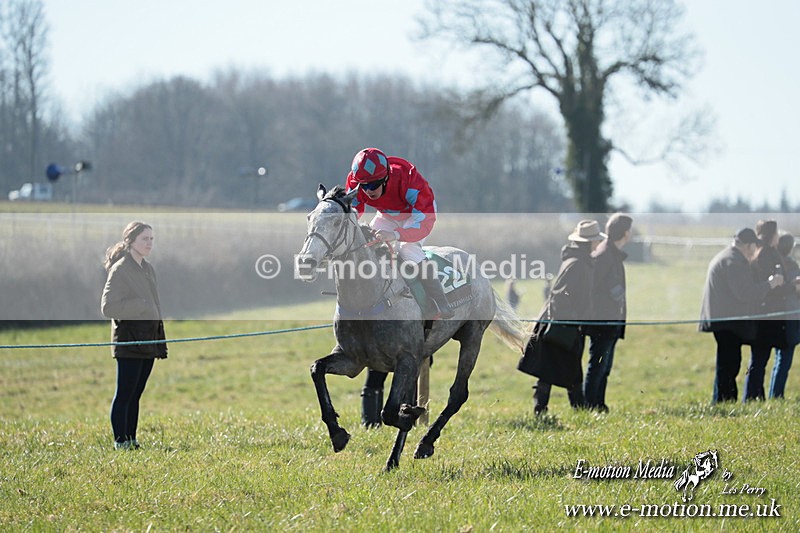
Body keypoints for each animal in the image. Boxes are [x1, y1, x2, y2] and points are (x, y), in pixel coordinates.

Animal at [294, 184, 529, 471]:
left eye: (337, 222)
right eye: (309, 218)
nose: (305, 263)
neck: (368, 297)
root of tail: (475, 265)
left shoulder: (405, 358)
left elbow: (390, 411)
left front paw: (410, 417)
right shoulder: (353, 360)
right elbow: (317, 369)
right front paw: (337, 434)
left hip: (472, 336)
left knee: (457, 394)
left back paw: (425, 443)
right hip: (420, 356)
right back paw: (393, 459)